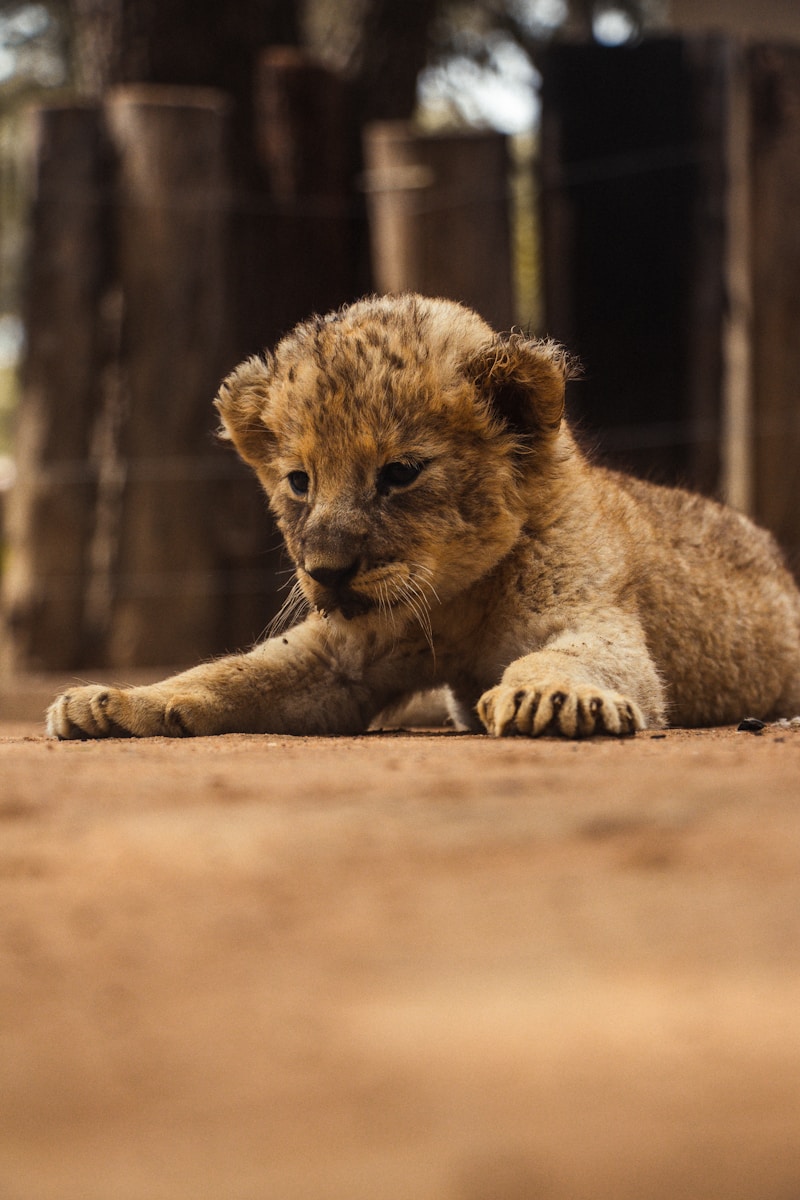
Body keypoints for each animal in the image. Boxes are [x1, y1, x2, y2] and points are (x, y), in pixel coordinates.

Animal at [46, 293, 800, 740]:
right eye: (299, 482)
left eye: (400, 473)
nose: (326, 572)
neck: (455, 600)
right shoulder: (338, 660)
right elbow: (226, 675)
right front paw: (109, 703)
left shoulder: (592, 616)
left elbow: (575, 655)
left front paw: (550, 697)